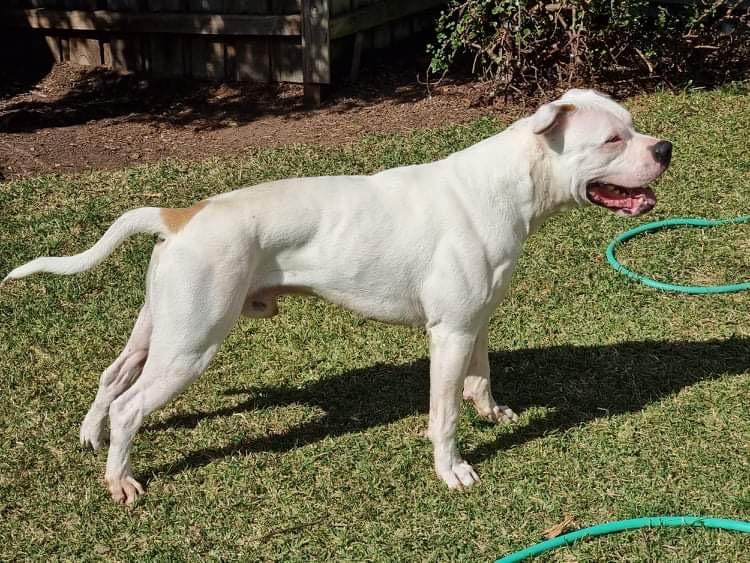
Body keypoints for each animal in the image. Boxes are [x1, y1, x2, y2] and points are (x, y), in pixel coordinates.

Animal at [4, 90, 676, 504]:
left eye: (634, 127)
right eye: (613, 139)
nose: (665, 148)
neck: (510, 184)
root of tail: (178, 215)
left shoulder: (475, 322)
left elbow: (480, 379)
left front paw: (493, 413)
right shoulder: (449, 332)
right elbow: (444, 415)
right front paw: (453, 471)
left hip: (161, 328)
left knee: (113, 375)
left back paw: (91, 439)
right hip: (191, 344)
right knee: (130, 405)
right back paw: (120, 481)